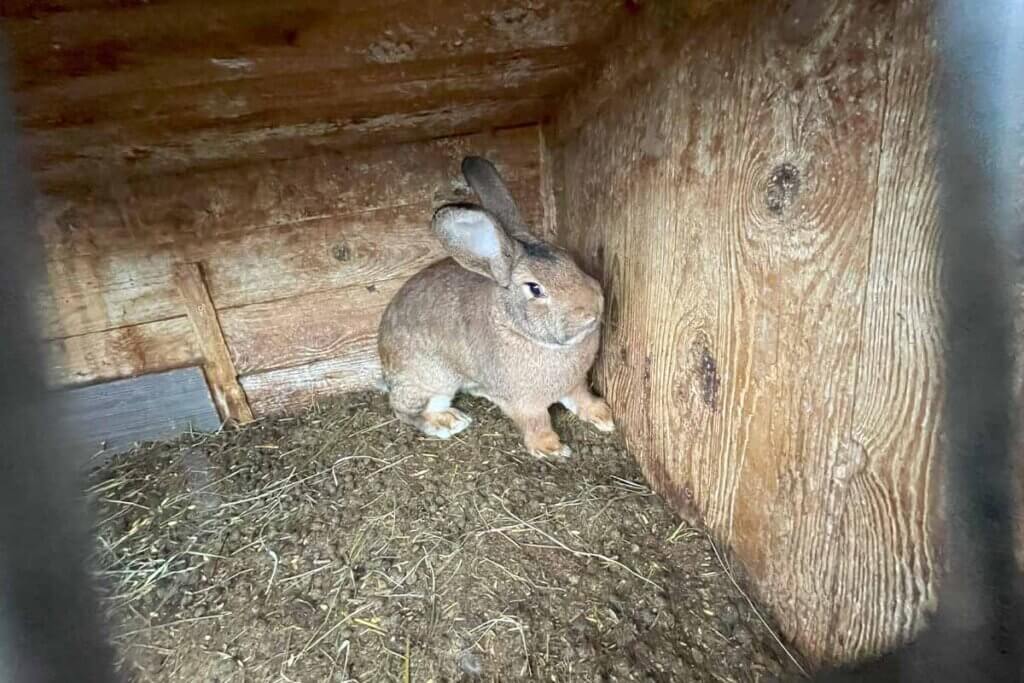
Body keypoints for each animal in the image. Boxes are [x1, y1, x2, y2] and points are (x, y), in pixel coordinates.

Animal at [378, 153, 610, 454]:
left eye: (570, 260)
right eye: (535, 289)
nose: (592, 310)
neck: (517, 328)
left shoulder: (576, 384)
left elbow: (583, 398)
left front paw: (603, 415)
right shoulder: (522, 402)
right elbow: (536, 422)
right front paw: (552, 448)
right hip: (431, 380)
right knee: (406, 410)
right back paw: (448, 421)